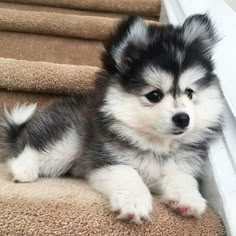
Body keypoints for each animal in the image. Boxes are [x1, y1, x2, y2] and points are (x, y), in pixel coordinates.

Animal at [0, 14, 224, 223]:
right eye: (154, 95)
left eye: (189, 93)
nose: (183, 119)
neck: (156, 145)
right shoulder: (105, 160)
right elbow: (128, 173)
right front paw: (134, 202)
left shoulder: (180, 167)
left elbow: (184, 178)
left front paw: (188, 199)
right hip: (67, 141)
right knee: (29, 149)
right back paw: (23, 169)